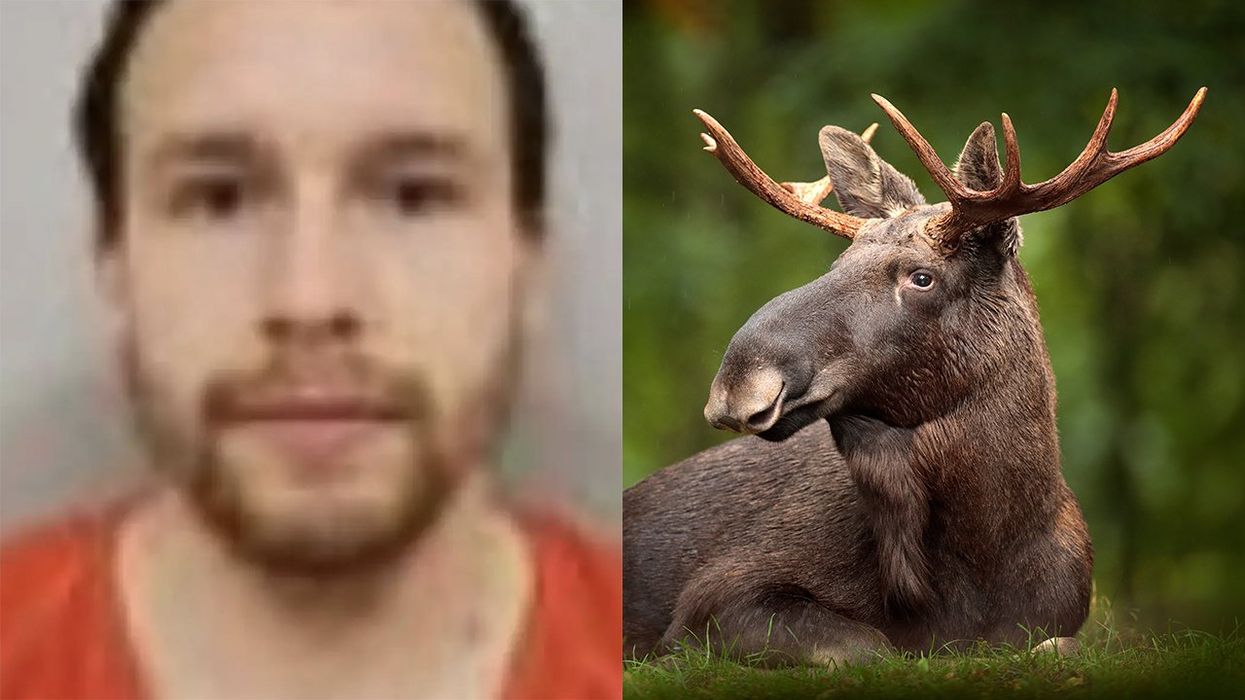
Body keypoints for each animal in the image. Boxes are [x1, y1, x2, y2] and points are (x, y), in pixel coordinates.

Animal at [623, 88, 1206, 665]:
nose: (738, 381)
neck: (982, 558)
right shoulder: (717, 592)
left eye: (921, 277)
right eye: (836, 266)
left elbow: (1057, 646)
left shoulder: (1061, 618)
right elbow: (869, 647)